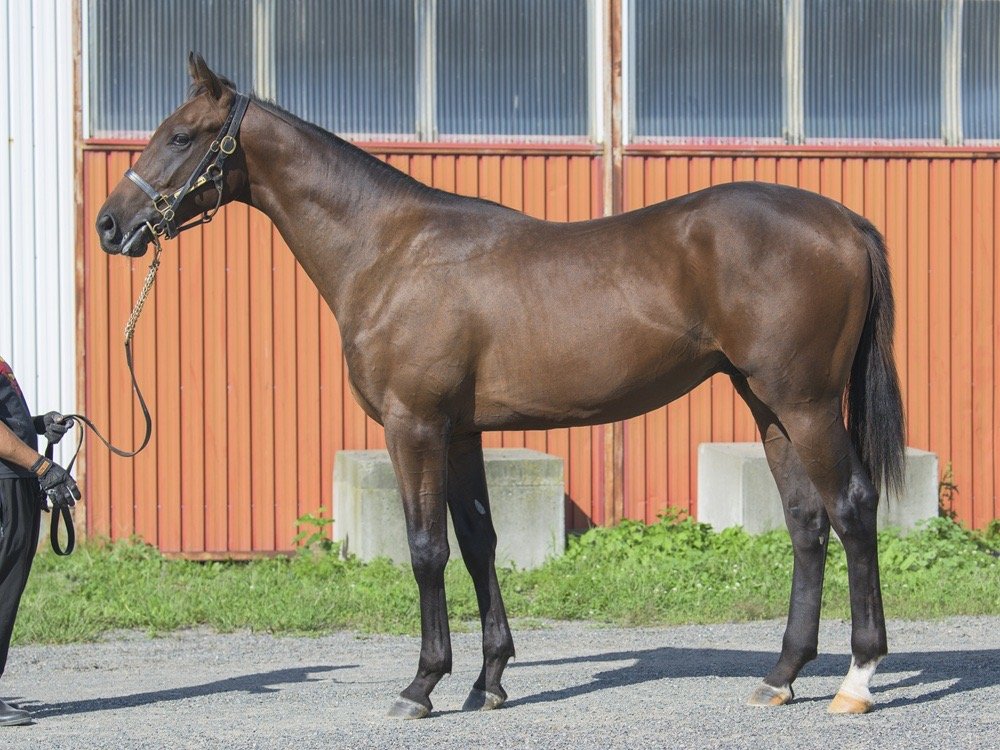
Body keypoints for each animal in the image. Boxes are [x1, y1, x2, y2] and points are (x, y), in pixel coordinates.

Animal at [96, 53, 904, 718]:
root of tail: (843, 222)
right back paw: (782, 675)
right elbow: (480, 543)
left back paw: (857, 681)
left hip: (804, 404)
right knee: (806, 523)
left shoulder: (414, 425)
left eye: (181, 136)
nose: (109, 225)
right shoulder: (460, 433)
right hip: (767, 404)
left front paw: (422, 685)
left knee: (851, 508)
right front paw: (489, 681)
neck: (388, 250)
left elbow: (426, 548)